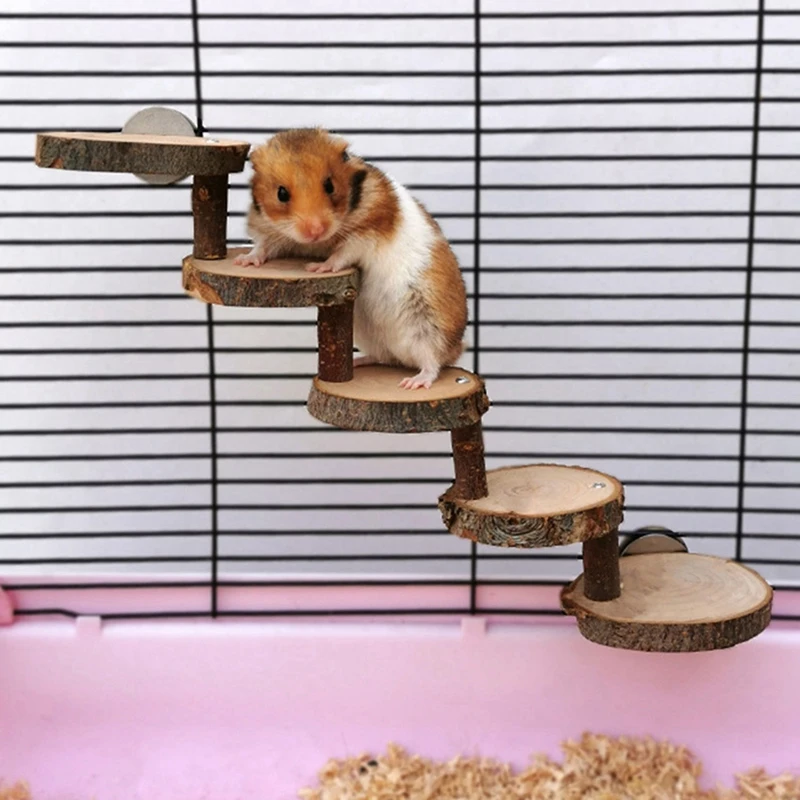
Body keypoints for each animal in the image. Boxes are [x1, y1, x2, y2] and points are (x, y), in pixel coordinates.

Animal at [234, 127, 467, 390]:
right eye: (281, 193)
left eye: (329, 185)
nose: (315, 230)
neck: (317, 243)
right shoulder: (273, 233)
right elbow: (263, 248)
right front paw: (244, 261)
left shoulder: (365, 235)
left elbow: (341, 254)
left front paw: (317, 267)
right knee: (383, 357)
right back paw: (358, 363)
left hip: (429, 326)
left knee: (433, 362)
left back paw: (413, 383)